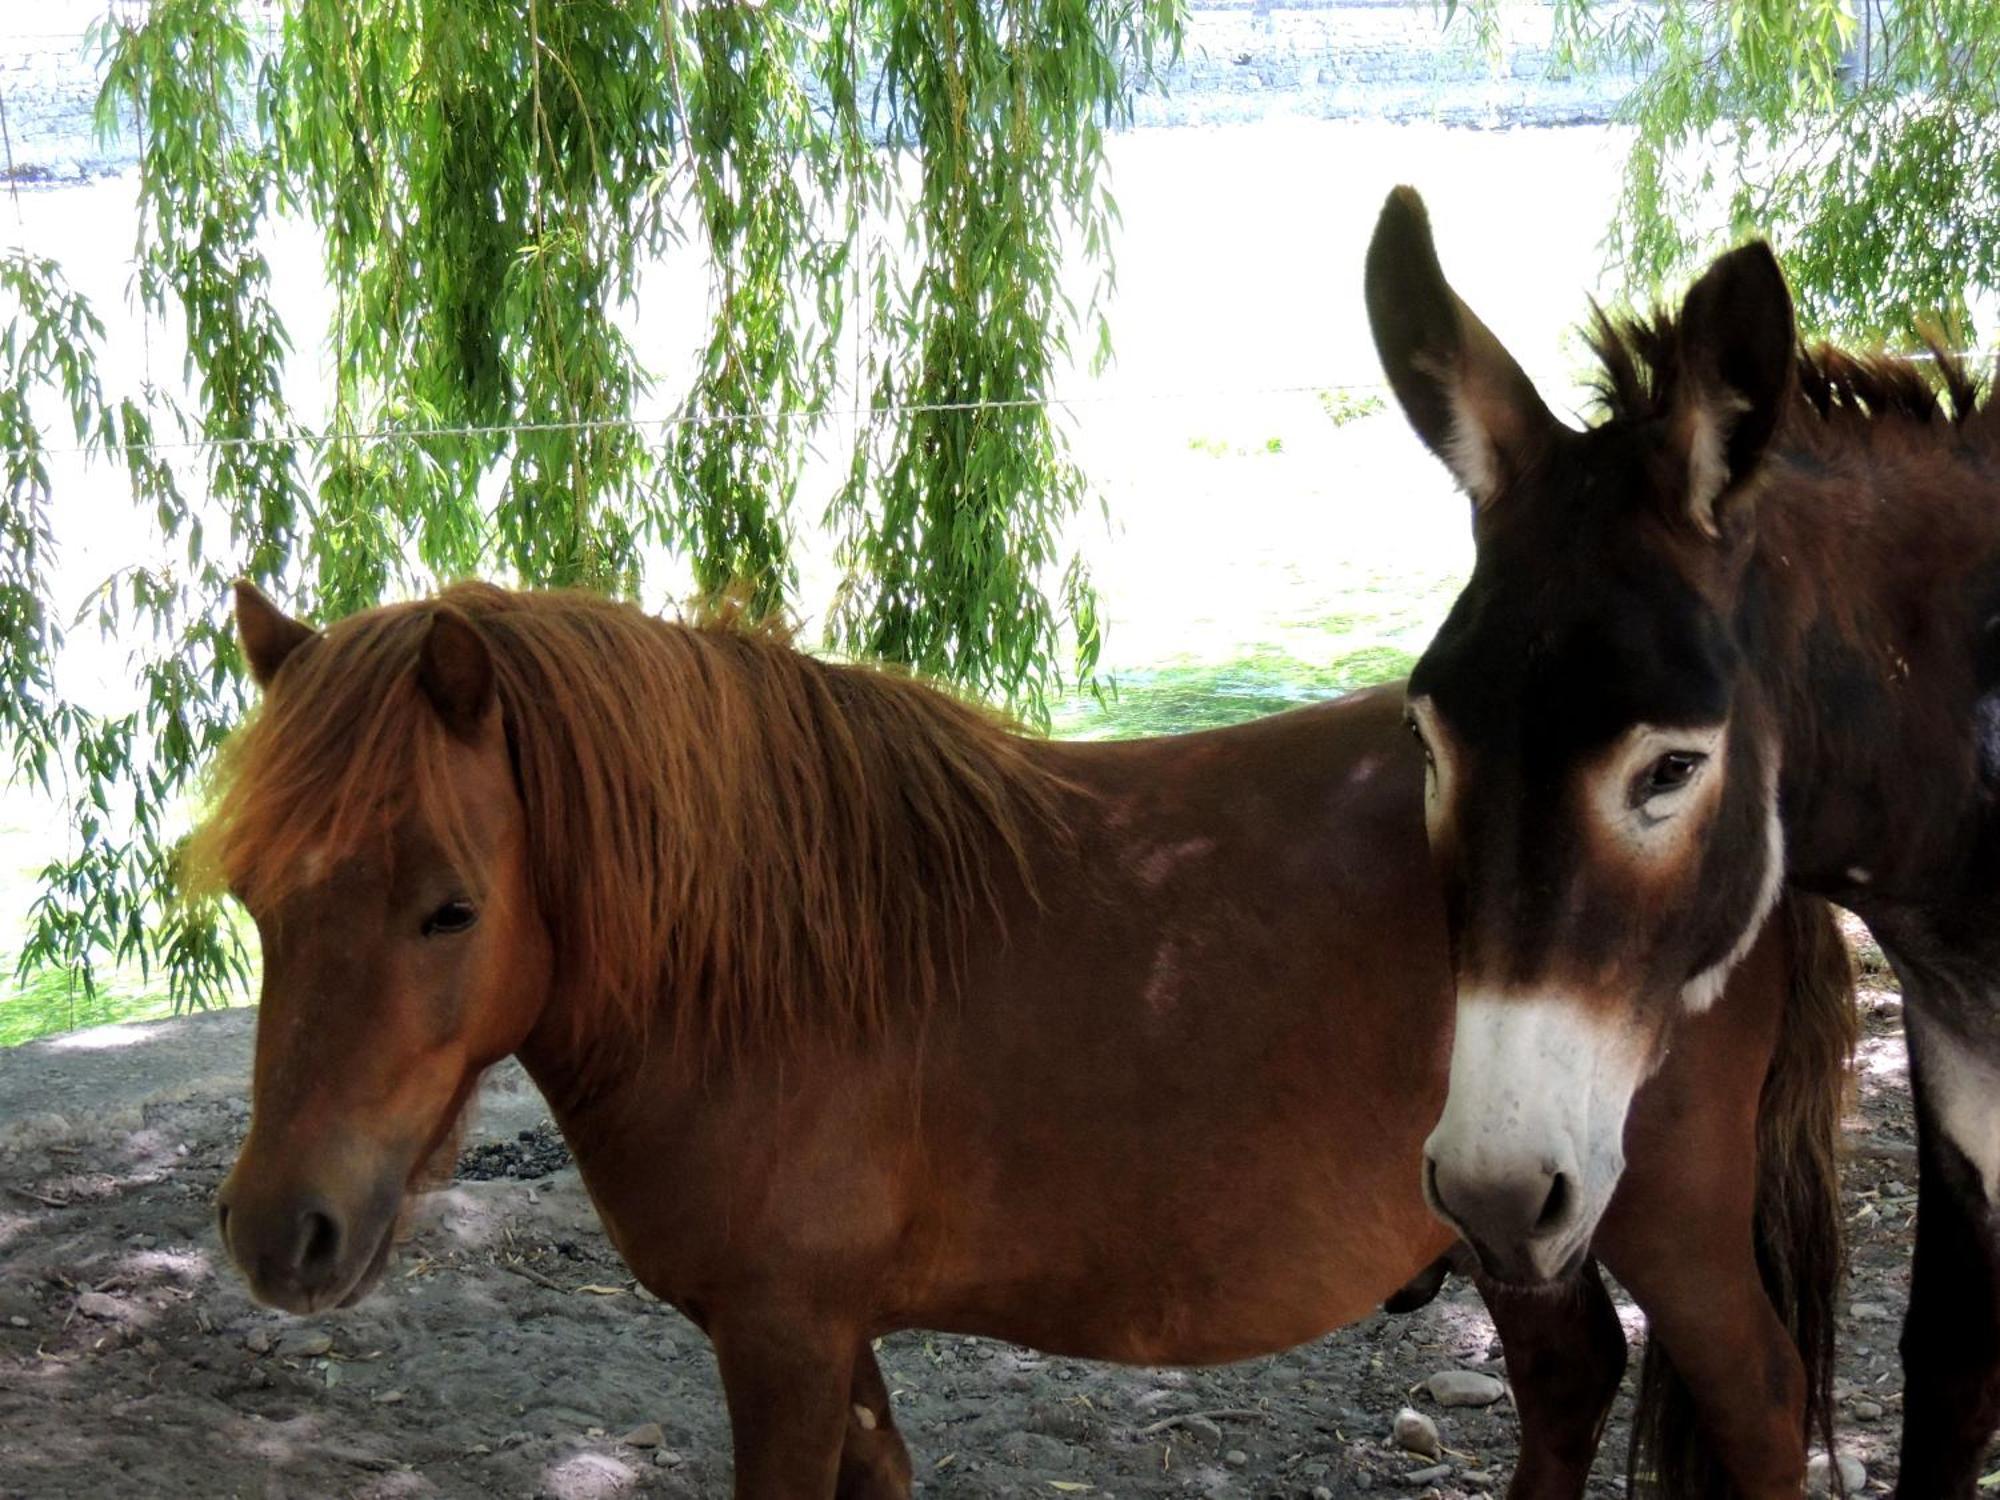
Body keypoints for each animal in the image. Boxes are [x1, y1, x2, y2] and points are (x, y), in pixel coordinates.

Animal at [199, 580, 1840, 1496]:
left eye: (449, 910)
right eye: (257, 895)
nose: (284, 1232)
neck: (764, 963)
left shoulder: (781, 1340)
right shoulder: (824, 1332)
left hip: (1669, 1230)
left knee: (1759, 1414)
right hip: (1515, 1216)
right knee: (1567, 1390)